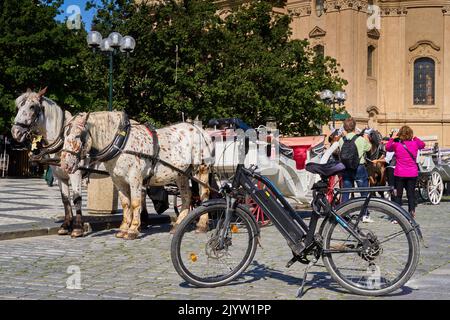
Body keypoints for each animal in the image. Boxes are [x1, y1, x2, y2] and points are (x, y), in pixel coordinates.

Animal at [11, 88, 86, 238]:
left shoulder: (75, 174)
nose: (15, 132)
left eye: (32, 107)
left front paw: (77, 228)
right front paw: (65, 225)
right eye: (19, 107)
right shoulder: (60, 176)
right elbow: (65, 199)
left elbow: (77, 198)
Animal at [60, 111, 214, 239]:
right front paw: (123, 229)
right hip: (182, 174)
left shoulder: (135, 179)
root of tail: (201, 131)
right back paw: (177, 226)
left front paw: (133, 230)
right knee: (187, 196)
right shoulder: (118, 181)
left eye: (77, 135)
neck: (121, 144)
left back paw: (201, 225)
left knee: (204, 194)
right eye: (64, 136)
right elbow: (125, 204)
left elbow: (135, 203)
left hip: (201, 169)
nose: (64, 164)